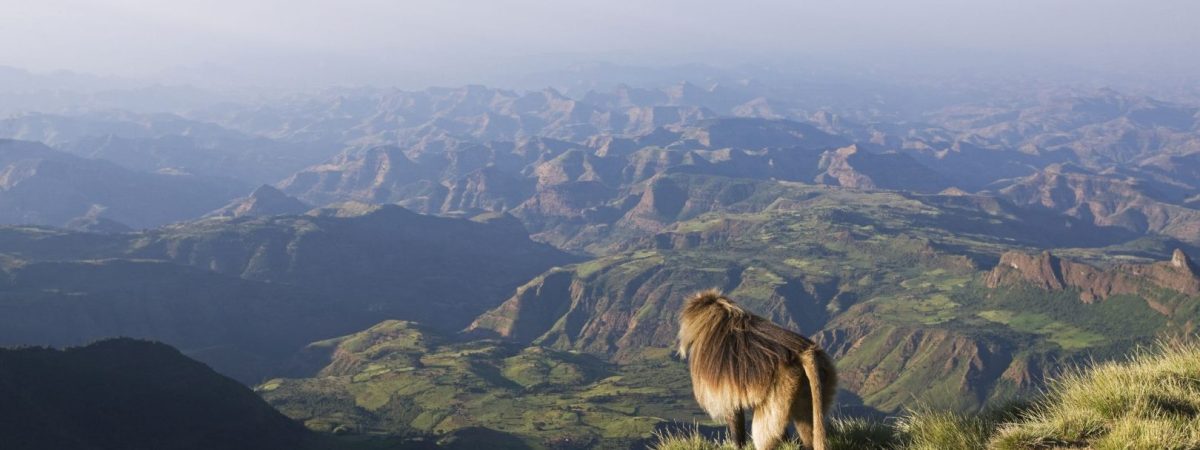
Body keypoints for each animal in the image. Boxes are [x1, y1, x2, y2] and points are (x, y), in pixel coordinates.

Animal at [677, 290, 837, 450]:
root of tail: (803, 352)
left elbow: (733, 412)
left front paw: (738, 445)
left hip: (784, 386)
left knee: (763, 432)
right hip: (818, 379)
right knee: (805, 425)